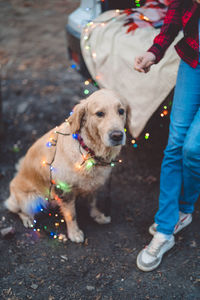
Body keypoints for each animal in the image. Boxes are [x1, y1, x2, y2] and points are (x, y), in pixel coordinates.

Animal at [4, 88, 126, 241]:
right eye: (99, 113)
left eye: (121, 111)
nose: (117, 136)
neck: (88, 150)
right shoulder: (64, 189)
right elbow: (71, 215)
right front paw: (74, 233)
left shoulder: (93, 184)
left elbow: (93, 202)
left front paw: (98, 216)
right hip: (31, 199)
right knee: (17, 209)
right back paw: (28, 218)